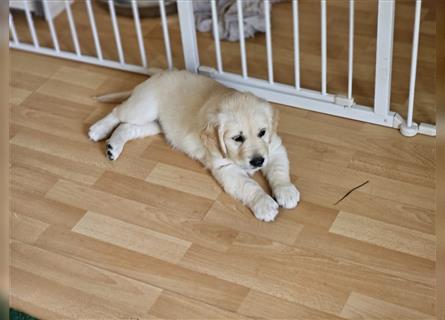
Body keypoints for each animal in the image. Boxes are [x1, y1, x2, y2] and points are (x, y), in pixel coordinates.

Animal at [88, 69, 300, 220]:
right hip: (143, 108)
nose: (257, 162)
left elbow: (278, 169)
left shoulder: (274, 147)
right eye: (237, 138)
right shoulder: (225, 168)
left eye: (262, 133)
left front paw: (286, 191)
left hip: (156, 124)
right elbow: (249, 185)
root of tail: (155, 75)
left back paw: (113, 147)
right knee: (117, 113)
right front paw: (264, 204)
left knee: (127, 127)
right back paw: (98, 129)